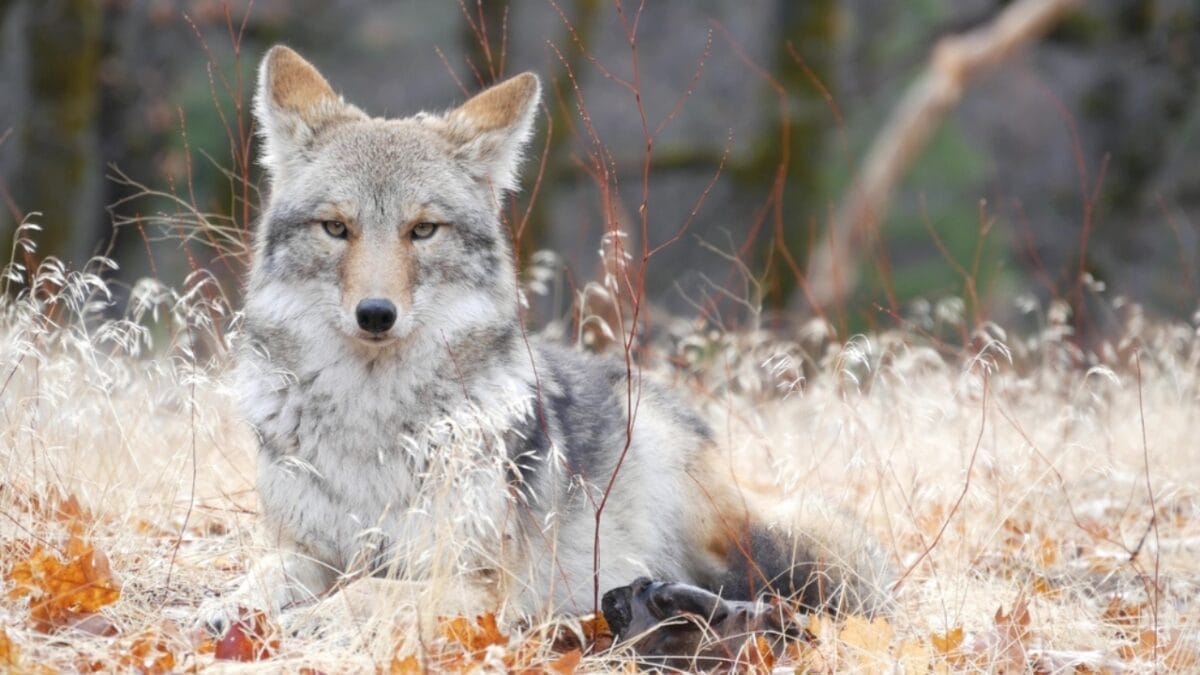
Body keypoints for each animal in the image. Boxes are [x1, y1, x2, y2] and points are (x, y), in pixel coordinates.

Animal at [204, 45, 890, 637]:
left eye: (423, 230)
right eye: (336, 228)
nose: (376, 314)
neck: (370, 421)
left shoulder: (476, 580)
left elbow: (367, 591)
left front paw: (314, 618)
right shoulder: (308, 548)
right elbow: (266, 572)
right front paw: (233, 608)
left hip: (723, 528)